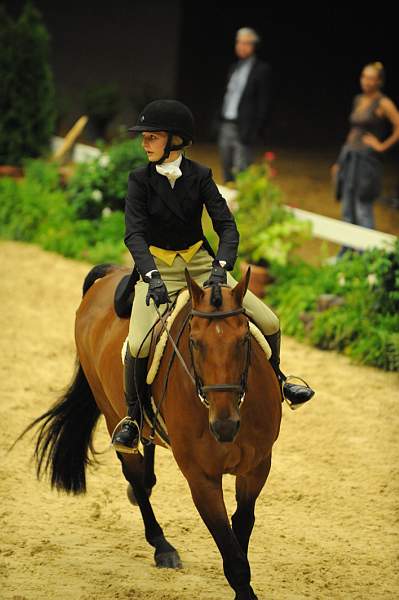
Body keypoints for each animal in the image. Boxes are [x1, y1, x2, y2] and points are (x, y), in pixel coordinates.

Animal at [21, 264, 282, 600]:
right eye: (194, 342)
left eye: (244, 340)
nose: (224, 426)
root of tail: (110, 274)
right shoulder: (201, 478)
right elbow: (231, 549)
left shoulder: (258, 465)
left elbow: (242, 525)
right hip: (111, 411)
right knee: (134, 471)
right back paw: (162, 546)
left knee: (147, 454)